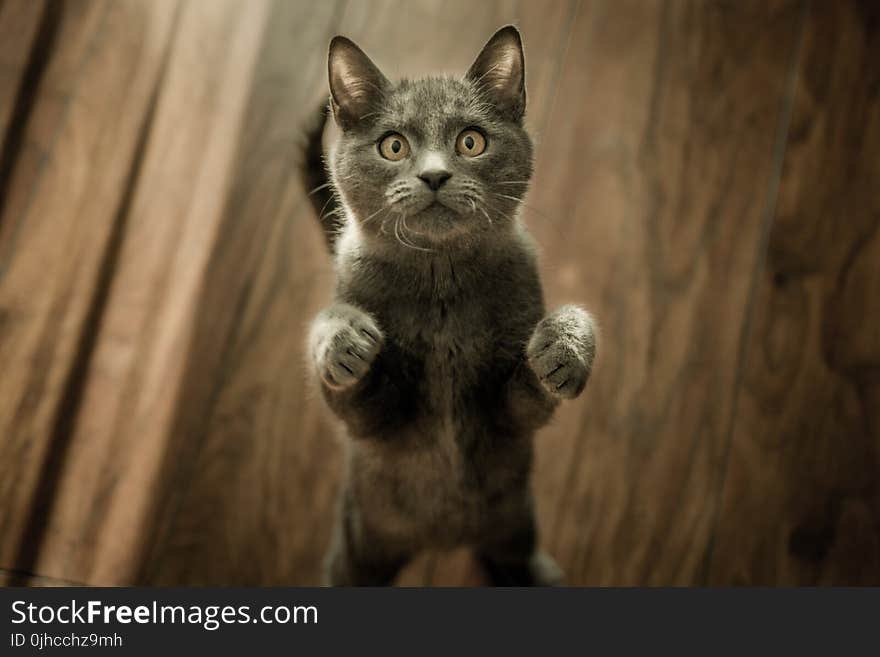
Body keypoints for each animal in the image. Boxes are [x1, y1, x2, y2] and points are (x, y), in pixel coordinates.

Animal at [302, 28, 600, 588]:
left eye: (471, 141)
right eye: (394, 145)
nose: (435, 175)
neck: (440, 285)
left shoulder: (510, 420)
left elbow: (533, 392)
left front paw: (565, 348)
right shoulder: (373, 427)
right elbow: (348, 387)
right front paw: (345, 341)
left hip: (514, 520)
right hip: (359, 539)